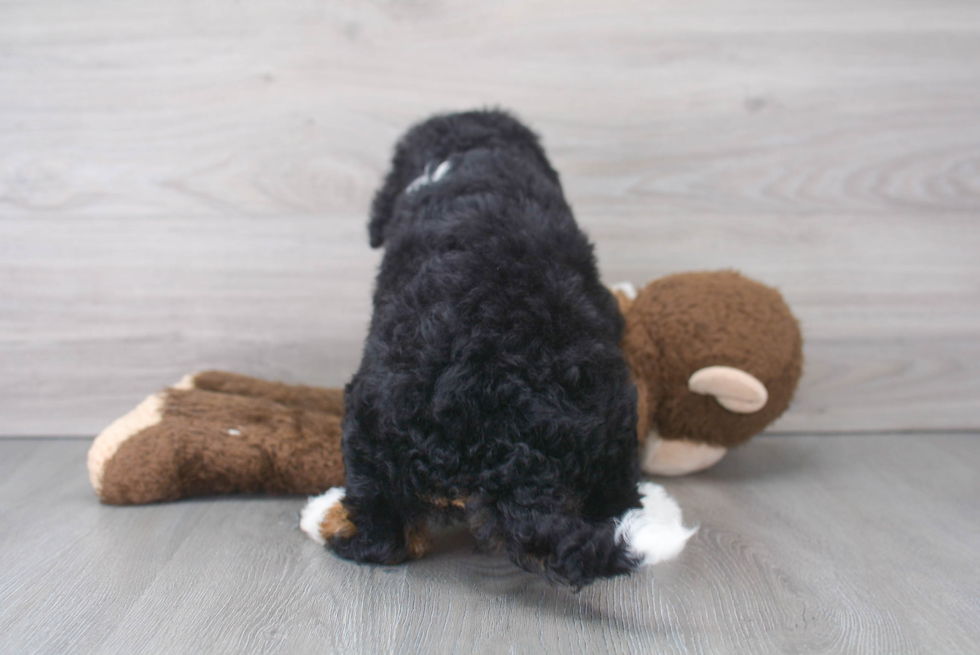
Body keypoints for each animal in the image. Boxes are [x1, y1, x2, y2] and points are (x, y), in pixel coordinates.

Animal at [302, 110, 692, 588]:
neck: (468, 152)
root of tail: (501, 443)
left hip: (368, 425)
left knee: (382, 536)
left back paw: (328, 518)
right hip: (613, 410)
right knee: (614, 495)